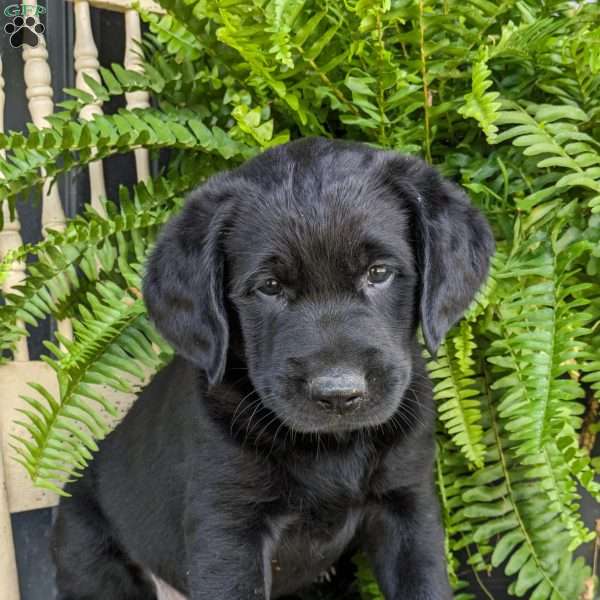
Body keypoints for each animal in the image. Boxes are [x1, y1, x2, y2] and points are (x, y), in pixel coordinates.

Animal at [50, 137, 492, 600]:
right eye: (270, 286)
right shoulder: (227, 527)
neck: (332, 446)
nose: (339, 393)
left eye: (379, 273)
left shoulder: (407, 503)